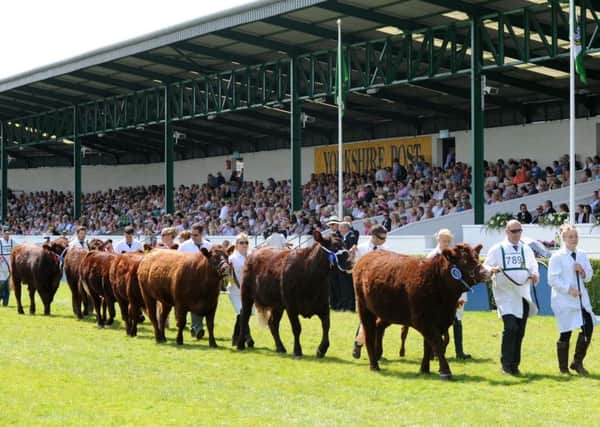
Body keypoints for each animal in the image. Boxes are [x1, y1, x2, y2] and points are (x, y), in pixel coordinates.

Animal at [352, 244, 488, 382]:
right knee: (369, 334)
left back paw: (378, 353)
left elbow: (428, 346)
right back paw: (374, 365)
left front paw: (424, 369)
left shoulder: (440, 321)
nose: (485, 272)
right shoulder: (424, 321)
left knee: (378, 327)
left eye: (476, 257)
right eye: (464, 260)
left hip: (388, 313)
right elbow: (438, 344)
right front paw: (445, 372)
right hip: (364, 308)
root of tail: (366, 257)